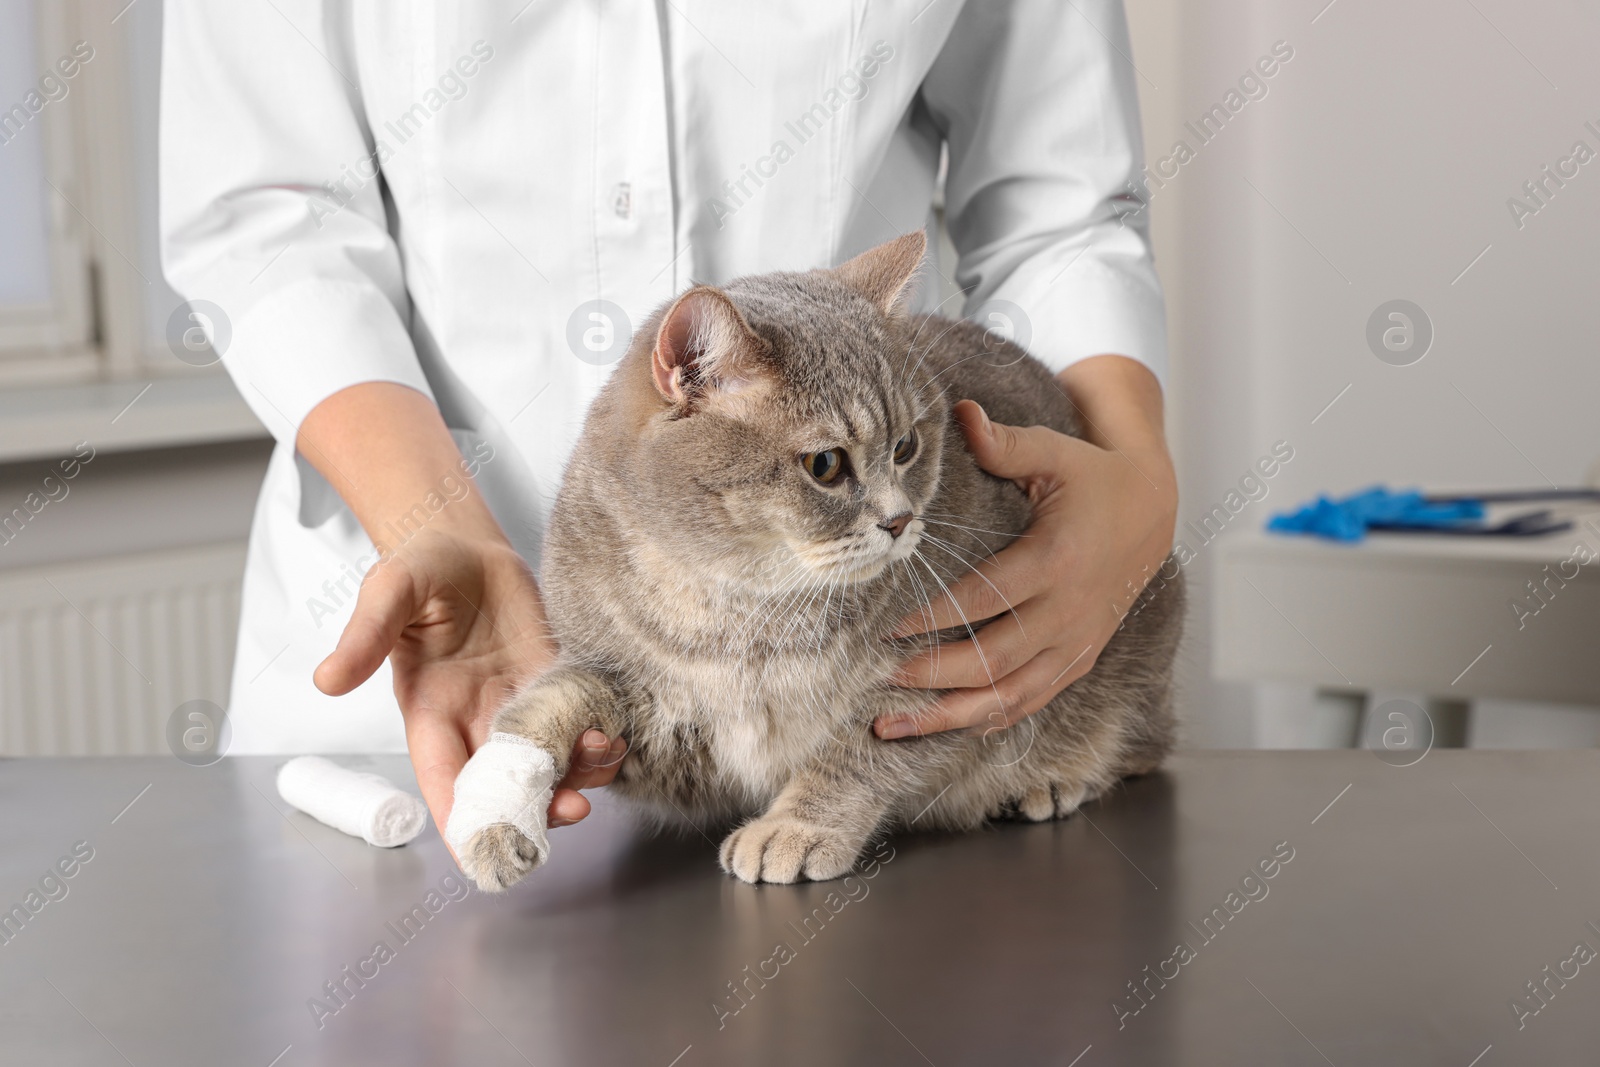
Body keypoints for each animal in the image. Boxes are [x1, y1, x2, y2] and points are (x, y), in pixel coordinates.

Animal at [457, 233, 1184, 895]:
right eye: (825, 465)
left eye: (907, 446)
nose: (900, 521)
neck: (742, 606)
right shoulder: (638, 700)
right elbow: (549, 701)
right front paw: (495, 810)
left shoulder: (944, 678)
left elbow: (857, 755)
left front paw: (795, 827)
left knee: (1142, 745)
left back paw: (1054, 779)